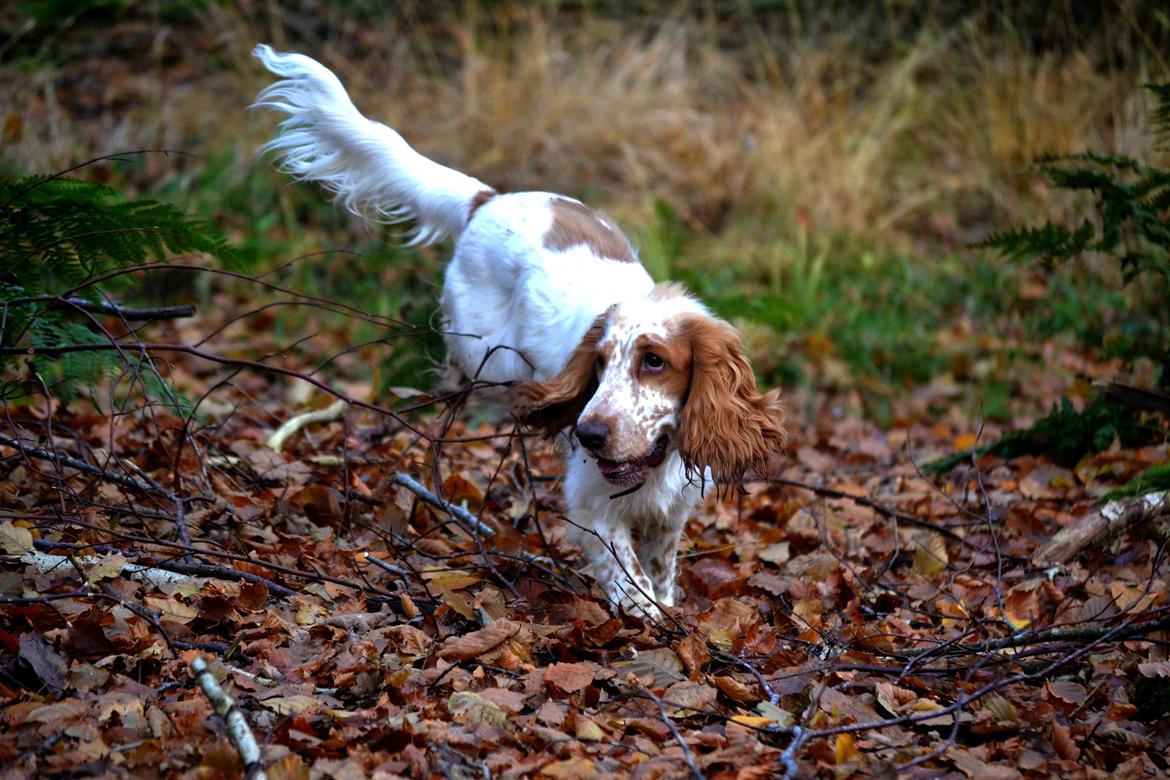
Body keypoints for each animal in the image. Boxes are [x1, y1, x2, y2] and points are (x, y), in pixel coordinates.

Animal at [255, 45, 786, 617]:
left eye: (654, 361)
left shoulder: (673, 511)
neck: (655, 458)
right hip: (486, 359)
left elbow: (660, 566)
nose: (588, 434)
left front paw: (667, 605)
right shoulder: (591, 505)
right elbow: (628, 574)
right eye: (599, 364)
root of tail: (488, 199)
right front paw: (645, 614)